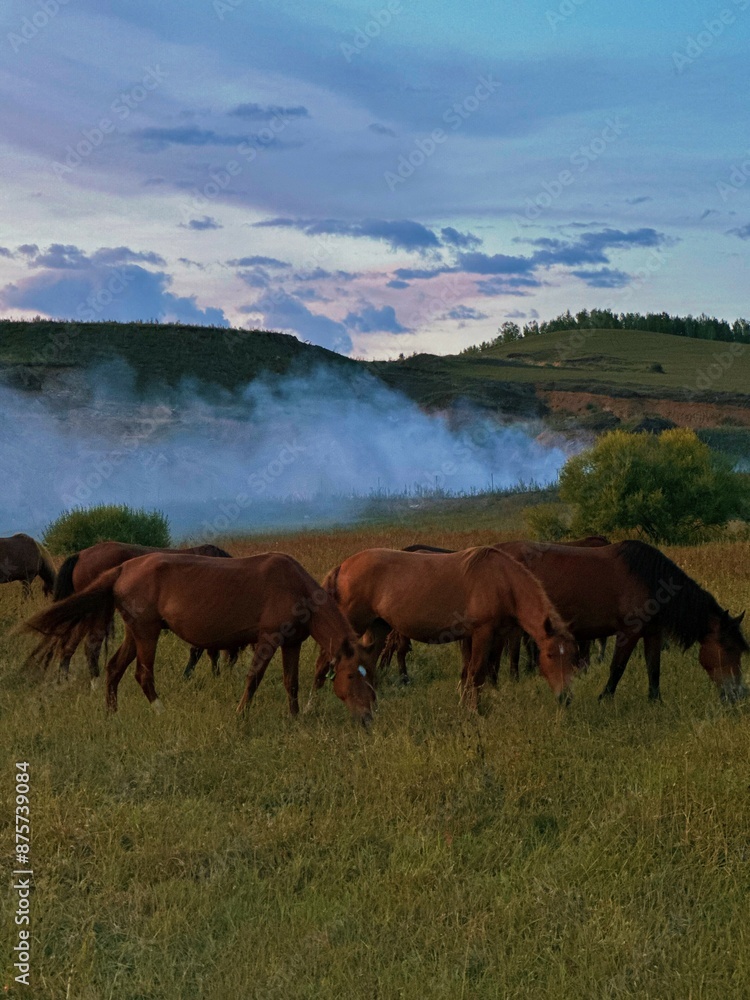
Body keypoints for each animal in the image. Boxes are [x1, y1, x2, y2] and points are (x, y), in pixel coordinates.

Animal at [52, 541, 234, 681]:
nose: (230, 671)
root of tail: (80, 555)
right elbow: (202, 651)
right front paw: (196, 676)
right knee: (89, 646)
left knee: (69, 644)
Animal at [314, 546, 578, 708]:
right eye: (550, 655)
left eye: (572, 656)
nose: (565, 697)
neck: (502, 580)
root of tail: (343, 566)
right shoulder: (482, 633)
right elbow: (477, 672)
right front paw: (475, 711)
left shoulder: (482, 636)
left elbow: (470, 672)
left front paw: (467, 703)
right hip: (354, 624)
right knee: (323, 662)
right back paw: (312, 706)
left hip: (377, 627)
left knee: (367, 664)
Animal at [500, 539, 748, 702]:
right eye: (728, 648)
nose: (739, 694)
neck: (651, 581)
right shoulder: (628, 632)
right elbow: (617, 667)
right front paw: (604, 698)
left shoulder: (653, 633)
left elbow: (654, 668)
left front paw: (655, 701)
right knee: (512, 651)